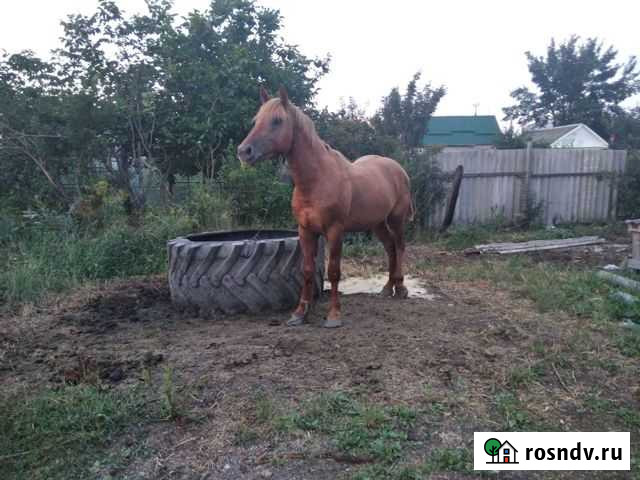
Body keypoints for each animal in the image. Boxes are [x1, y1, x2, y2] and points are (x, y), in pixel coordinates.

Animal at [238, 86, 412, 328]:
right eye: (256, 120)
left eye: (277, 120)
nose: (244, 151)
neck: (316, 180)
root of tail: (398, 169)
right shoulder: (305, 231)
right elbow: (307, 271)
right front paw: (299, 314)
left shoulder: (335, 231)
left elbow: (334, 271)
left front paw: (334, 315)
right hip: (377, 223)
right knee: (390, 248)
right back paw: (388, 288)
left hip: (396, 220)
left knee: (400, 246)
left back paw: (401, 288)